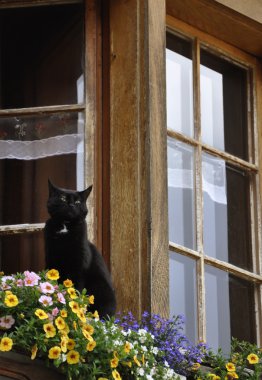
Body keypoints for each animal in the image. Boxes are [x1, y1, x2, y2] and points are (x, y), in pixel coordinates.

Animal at [44, 180, 116, 318]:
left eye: (77, 201)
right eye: (62, 198)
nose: (71, 205)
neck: (65, 227)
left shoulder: (79, 265)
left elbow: (75, 287)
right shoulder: (52, 260)